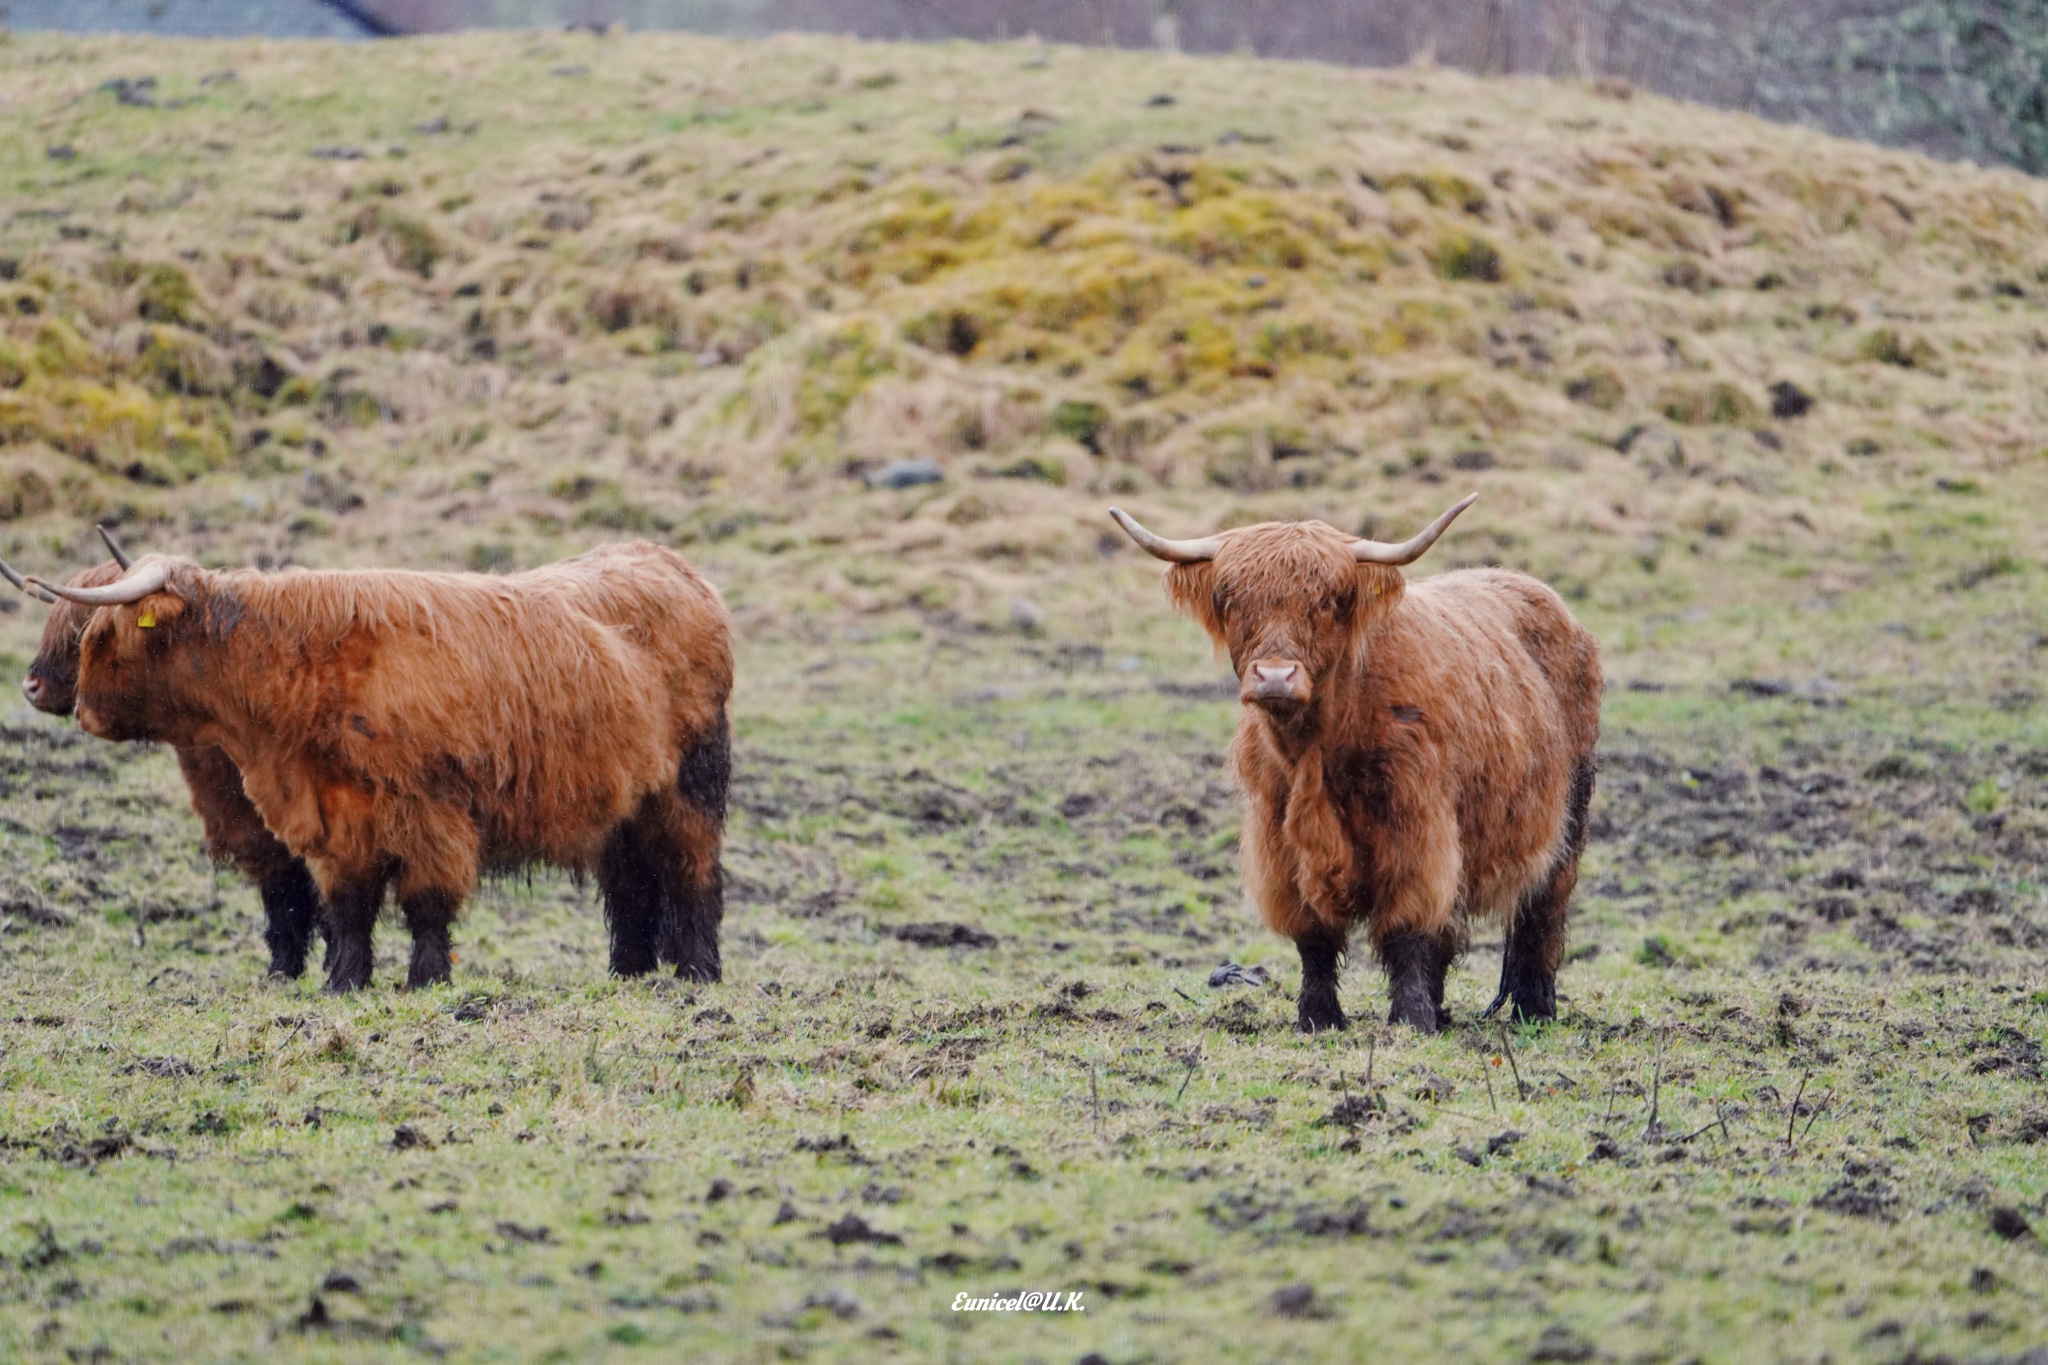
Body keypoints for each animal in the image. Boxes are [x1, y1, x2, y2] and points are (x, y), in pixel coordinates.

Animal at [32, 540, 737, 998]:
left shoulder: (431, 810)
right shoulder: (334, 817)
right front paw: (345, 983)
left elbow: (425, 903)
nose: (58, 697)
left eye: (98, 636)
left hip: (690, 787)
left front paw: (425, 980)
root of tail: (667, 560)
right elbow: (345, 906)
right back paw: (629, 971)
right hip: (624, 803)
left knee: (692, 873)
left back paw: (698, 972)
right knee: (631, 884)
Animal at [1114, 501, 1605, 1035]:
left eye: (1330, 601)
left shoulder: (1418, 829)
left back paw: (1532, 1009)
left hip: (1568, 816)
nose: (1275, 677)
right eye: (1231, 598)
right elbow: (1314, 937)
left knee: (1543, 909)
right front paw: (1318, 1017)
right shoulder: (1279, 837)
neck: (1319, 751)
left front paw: (1410, 1020)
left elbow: (1409, 928)